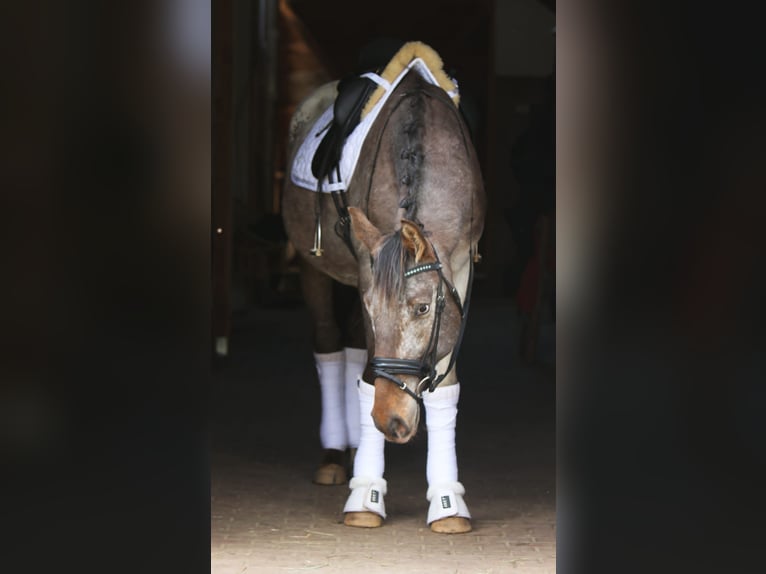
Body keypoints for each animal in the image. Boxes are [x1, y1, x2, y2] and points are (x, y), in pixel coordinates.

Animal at [282, 40, 486, 536]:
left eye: (422, 309)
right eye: (375, 308)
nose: (388, 420)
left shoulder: (459, 271)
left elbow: (445, 387)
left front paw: (448, 501)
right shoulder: (363, 271)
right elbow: (364, 376)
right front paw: (365, 495)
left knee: (354, 349)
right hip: (317, 268)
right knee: (330, 347)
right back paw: (336, 455)